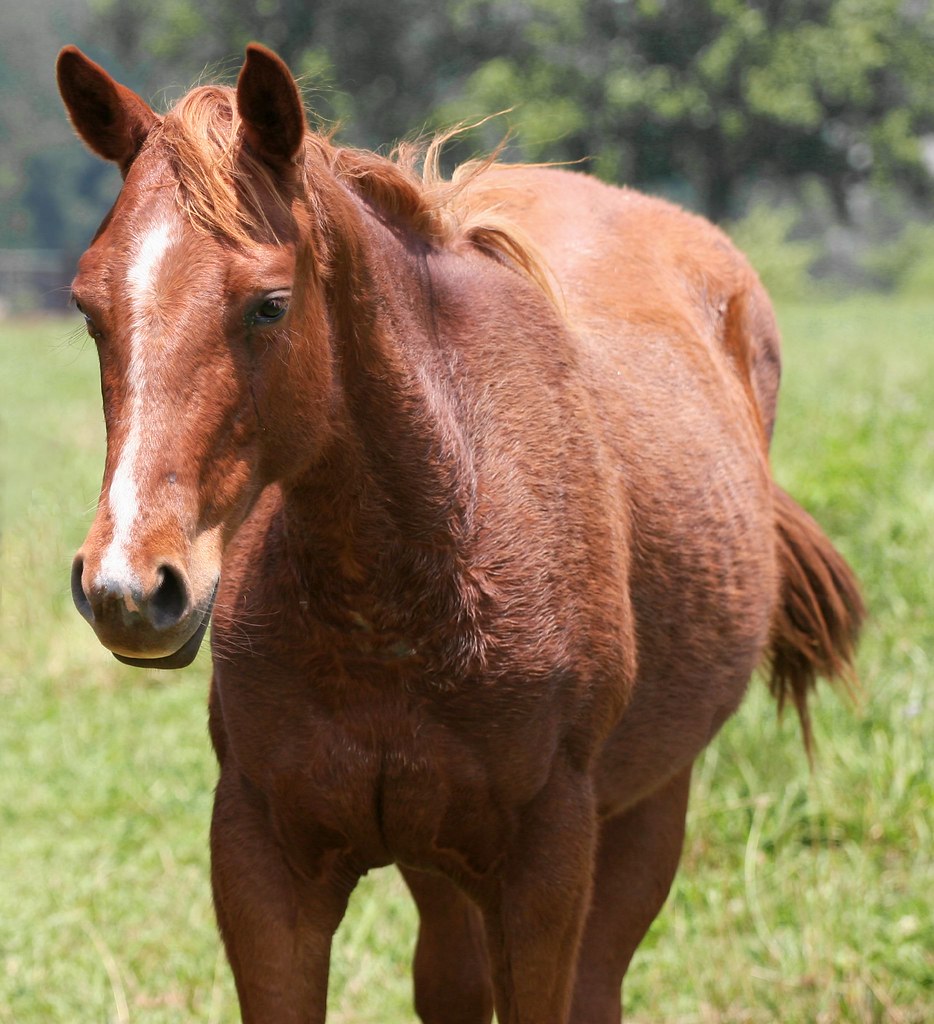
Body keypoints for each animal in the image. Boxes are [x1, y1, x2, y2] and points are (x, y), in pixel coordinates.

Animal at [56, 43, 863, 1024]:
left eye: (270, 304)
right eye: (90, 309)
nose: (129, 588)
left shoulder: (545, 870)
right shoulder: (264, 861)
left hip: (645, 815)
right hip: (439, 862)